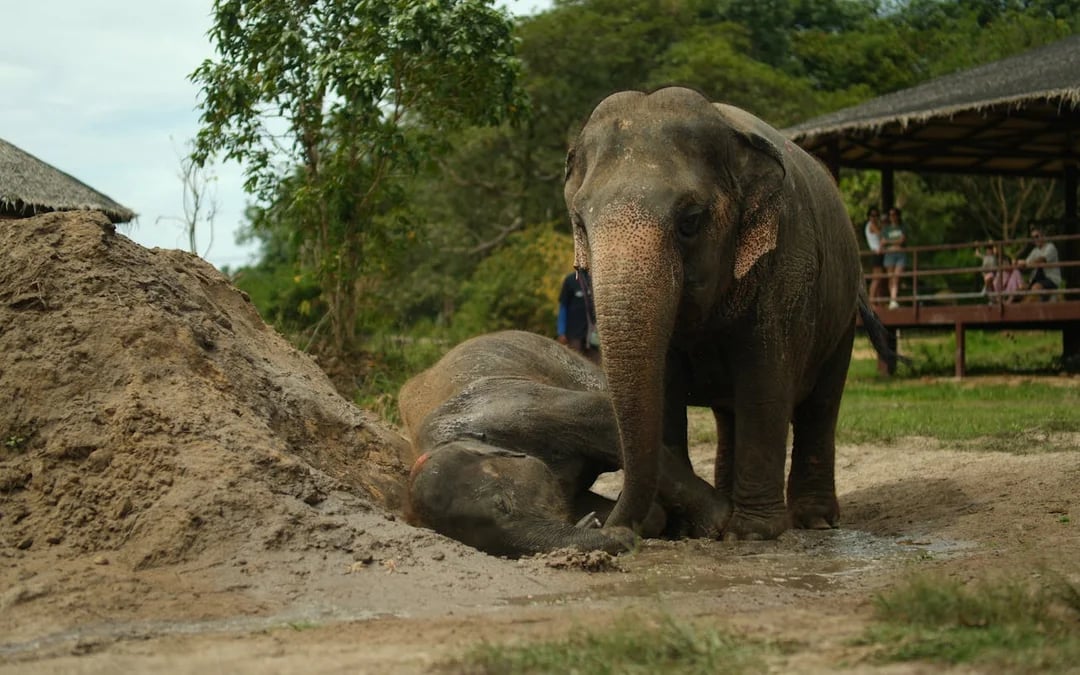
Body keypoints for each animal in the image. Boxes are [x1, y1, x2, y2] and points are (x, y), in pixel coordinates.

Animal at [563, 86, 900, 541]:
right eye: (580, 223)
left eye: (690, 221)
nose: (604, 523)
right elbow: (664, 392)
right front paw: (672, 528)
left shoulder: (785, 264)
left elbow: (764, 381)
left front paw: (751, 534)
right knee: (730, 415)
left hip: (841, 312)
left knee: (821, 405)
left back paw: (813, 520)